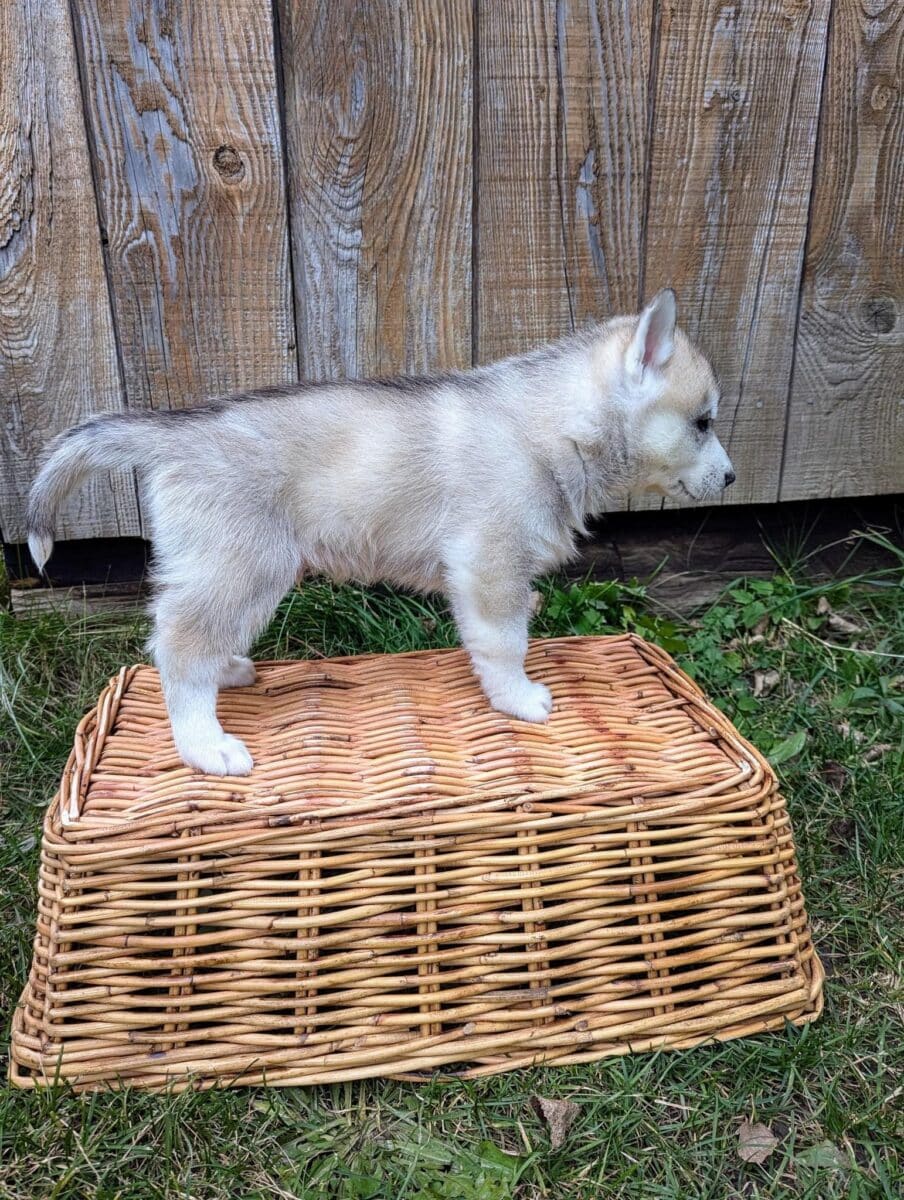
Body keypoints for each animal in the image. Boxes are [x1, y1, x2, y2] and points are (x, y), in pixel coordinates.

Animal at [28, 291, 734, 777]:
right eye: (702, 423)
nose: (731, 477)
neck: (555, 424)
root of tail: (174, 430)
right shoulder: (489, 566)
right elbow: (505, 644)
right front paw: (518, 700)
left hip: (232, 574)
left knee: (193, 636)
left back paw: (227, 671)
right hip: (244, 565)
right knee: (177, 648)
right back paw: (205, 746)